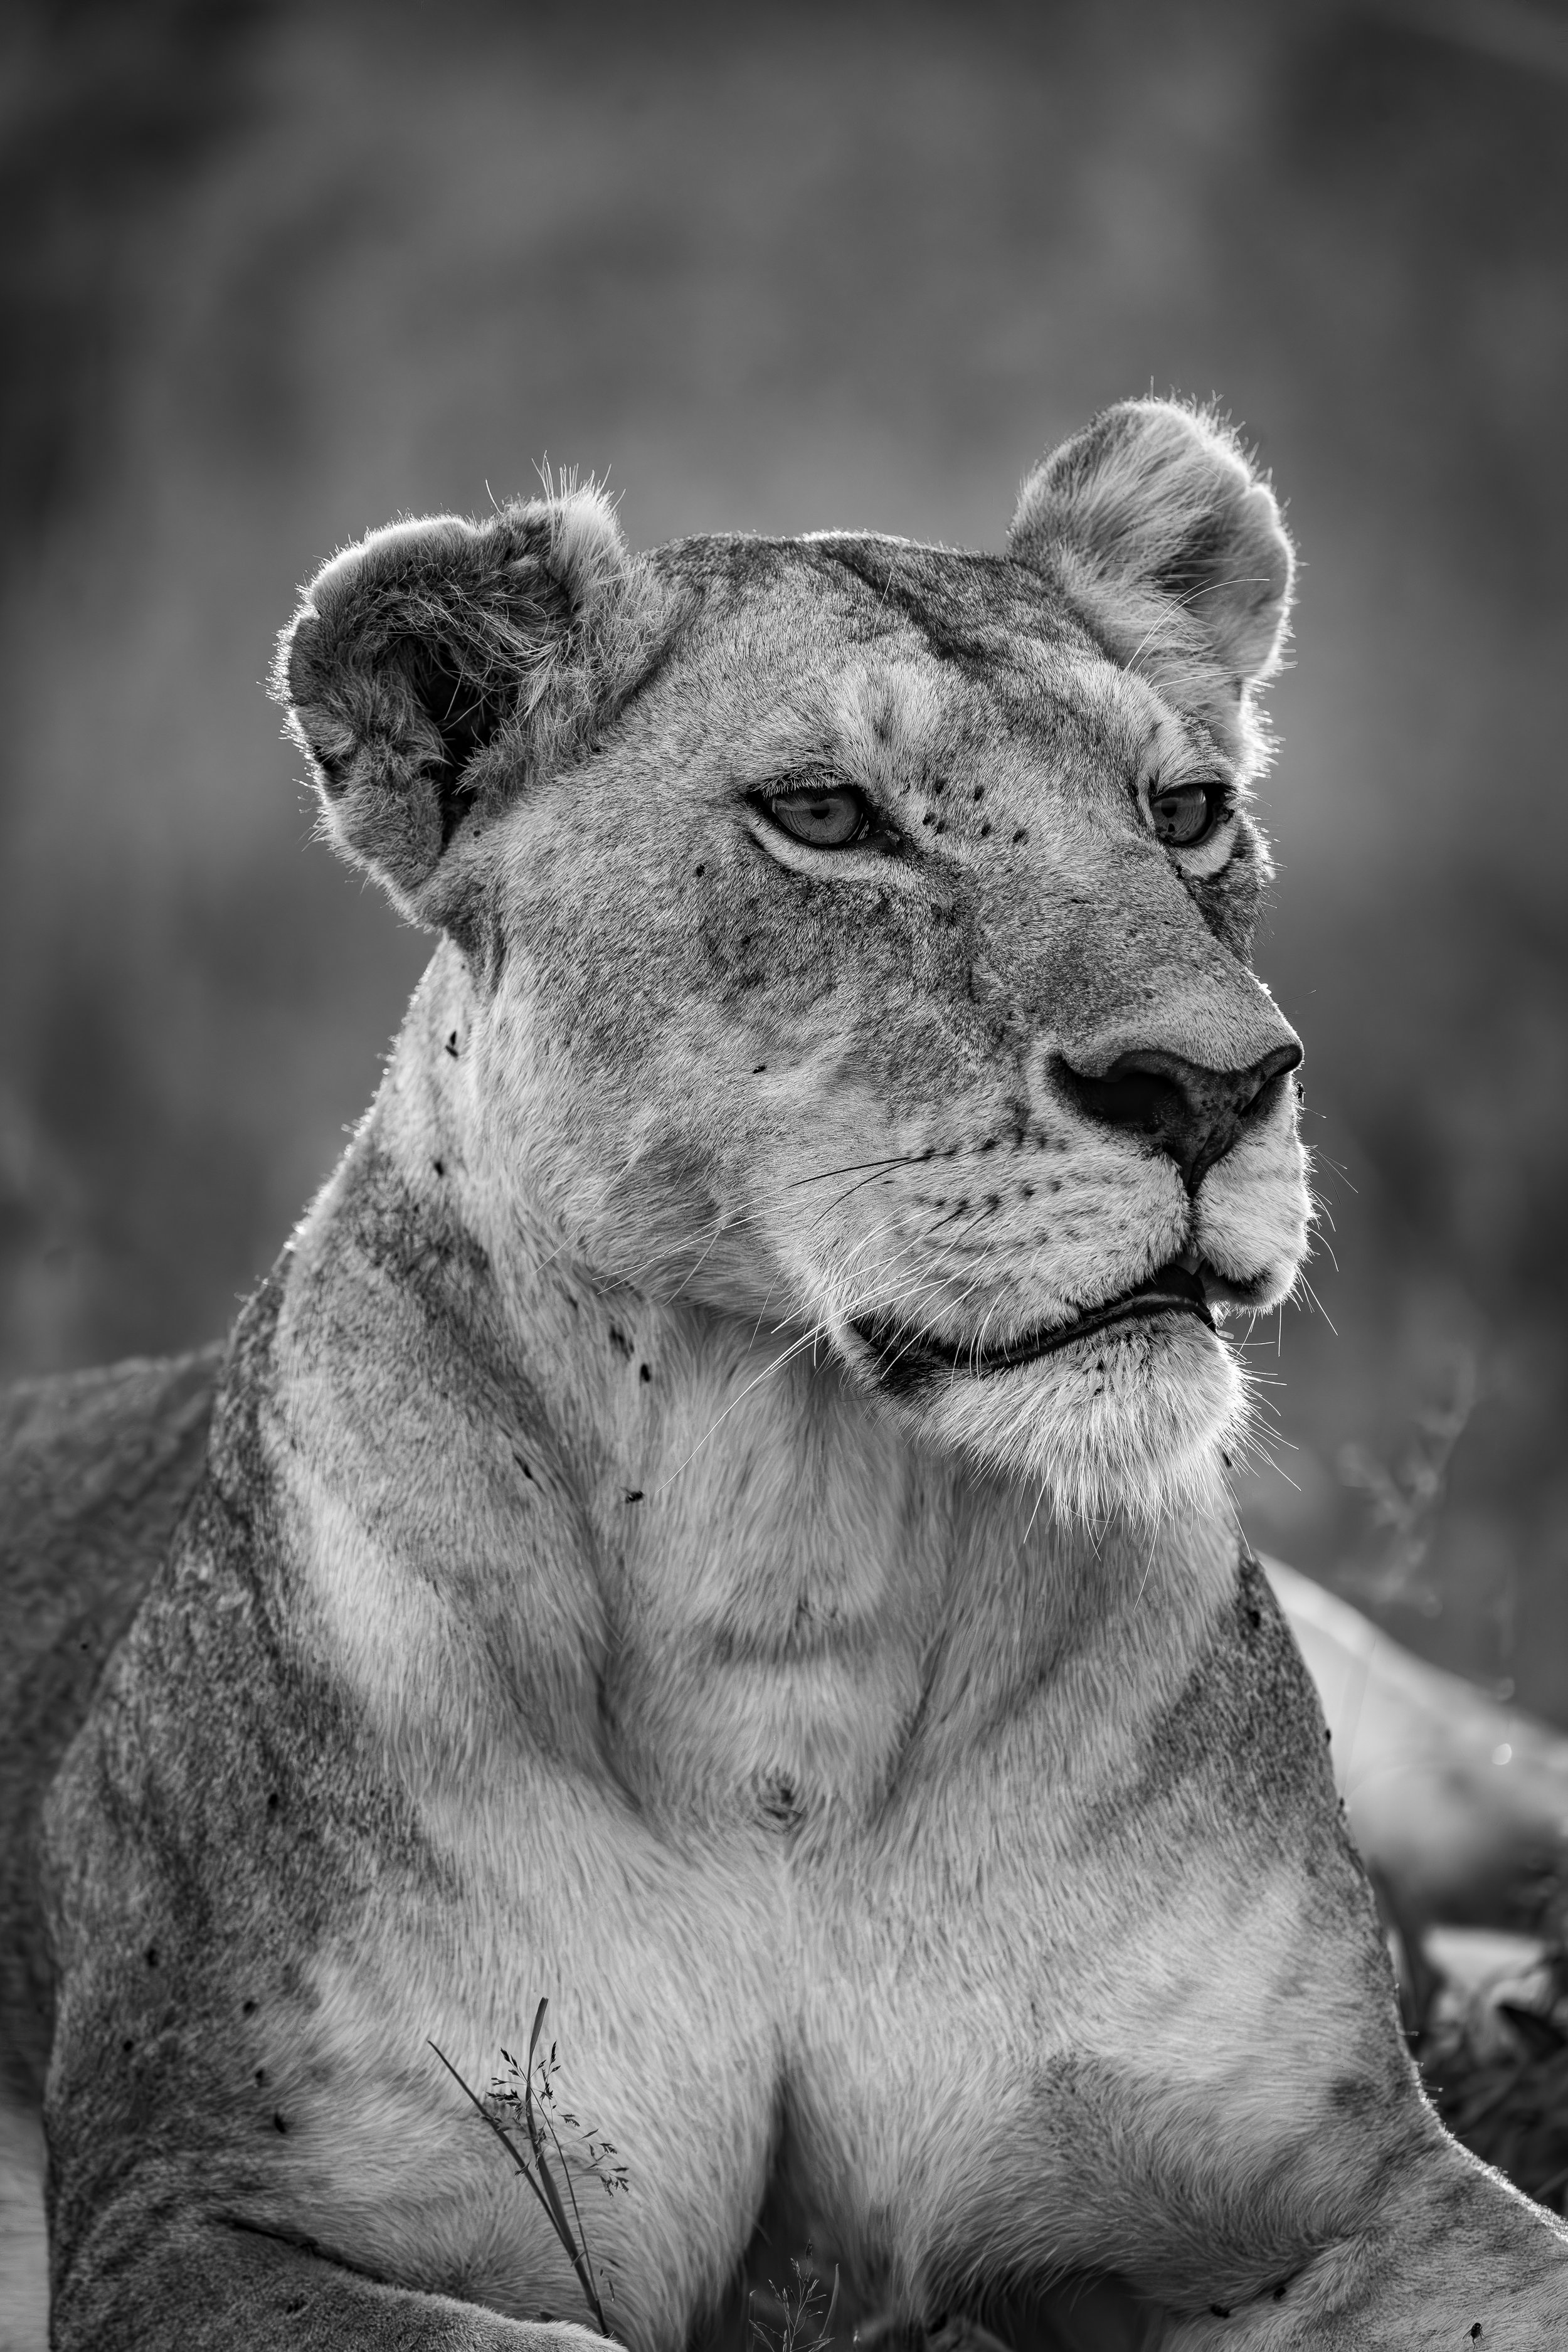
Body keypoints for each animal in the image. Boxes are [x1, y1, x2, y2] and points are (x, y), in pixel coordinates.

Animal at [3, 399, 1567, 2350]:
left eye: (1187, 811)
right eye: (826, 816)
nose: (1219, 1083)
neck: (790, 1571)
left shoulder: (1351, 2187)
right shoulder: (190, 2215)